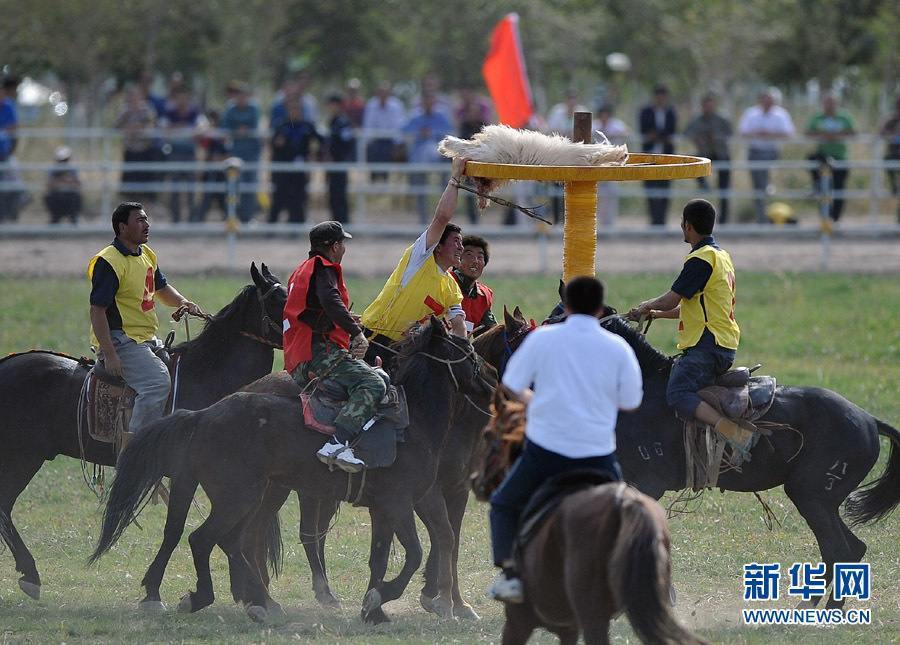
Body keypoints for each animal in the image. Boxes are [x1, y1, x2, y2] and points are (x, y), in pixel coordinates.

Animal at [0, 262, 286, 600]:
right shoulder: (187, 473)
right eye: (277, 299)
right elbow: (176, 529)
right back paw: (30, 574)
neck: (205, 376)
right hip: (22, 457)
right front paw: (153, 591)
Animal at [91, 320, 492, 620]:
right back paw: (212, 598)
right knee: (204, 540)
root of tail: (203, 416)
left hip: (250, 496)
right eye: (470, 354)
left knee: (229, 542)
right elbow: (414, 554)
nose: (492, 385)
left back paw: (260, 602)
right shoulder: (399, 503)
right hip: (240, 497)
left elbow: (381, 557)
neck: (413, 423)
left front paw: (373, 609)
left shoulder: (384, 508)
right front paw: (382, 598)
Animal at [468, 384, 708, 640]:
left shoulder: (518, 622)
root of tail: (624, 504)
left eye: (488, 434)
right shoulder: (568, 627)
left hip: (590, 613)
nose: (475, 481)